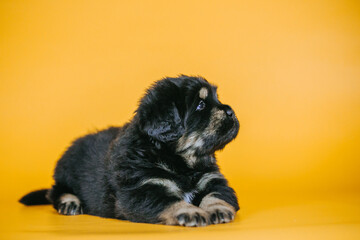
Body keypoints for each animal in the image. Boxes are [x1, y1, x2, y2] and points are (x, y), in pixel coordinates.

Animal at [19, 75, 240, 227]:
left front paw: (217, 209)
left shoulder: (212, 179)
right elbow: (167, 200)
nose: (231, 111)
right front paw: (190, 212)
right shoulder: (141, 188)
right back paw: (70, 202)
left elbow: (217, 194)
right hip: (65, 171)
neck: (179, 161)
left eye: (216, 98)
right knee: (54, 192)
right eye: (201, 105)